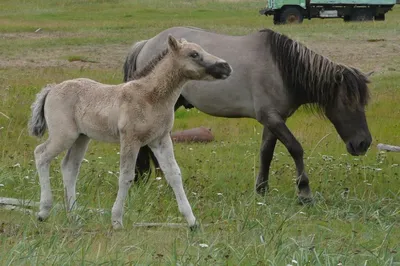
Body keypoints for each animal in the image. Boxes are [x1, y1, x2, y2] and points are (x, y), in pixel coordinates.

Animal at [124, 27, 372, 202]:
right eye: (348, 102)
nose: (363, 144)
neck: (281, 68)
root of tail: (146, 43)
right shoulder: (271, 118)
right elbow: (296, 149)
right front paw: (304, 192)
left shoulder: (274, 120)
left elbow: (266, 153)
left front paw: (261, 190)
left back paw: (162, 180)